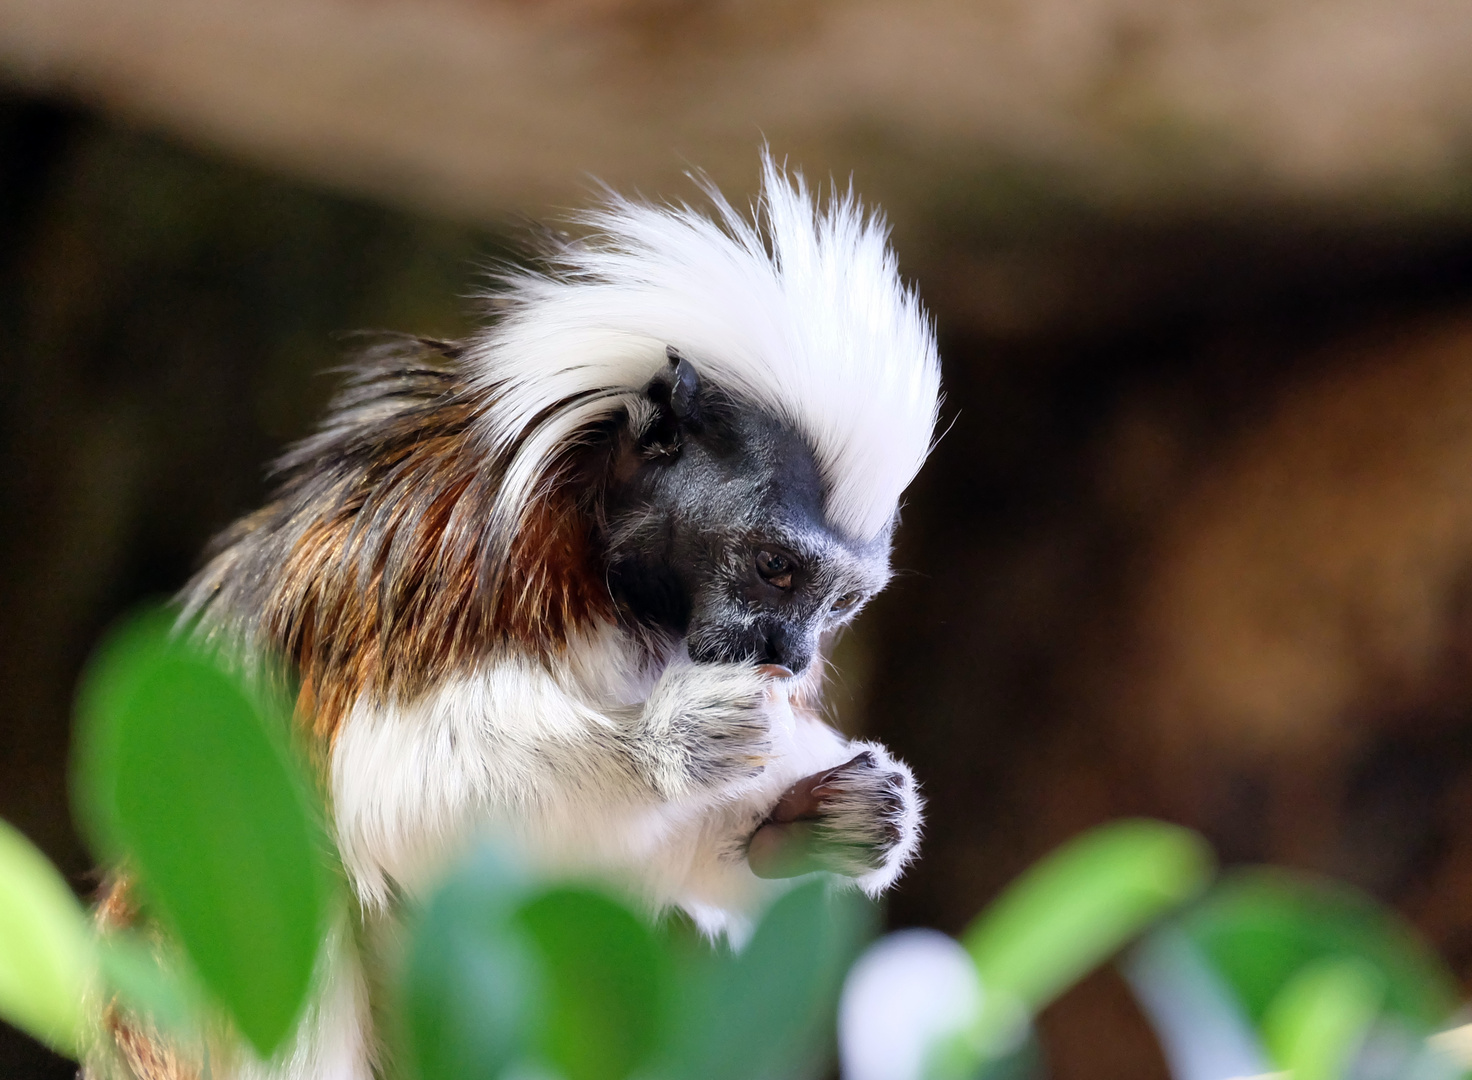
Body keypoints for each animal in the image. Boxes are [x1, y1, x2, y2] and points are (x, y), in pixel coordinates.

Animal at [83, 156, 942, 1080]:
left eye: (839, 603)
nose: (792, 654)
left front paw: (826, 823)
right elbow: (385, 789)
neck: (610, 576)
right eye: (775, 569)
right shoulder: (442, 568)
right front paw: (667, 746)